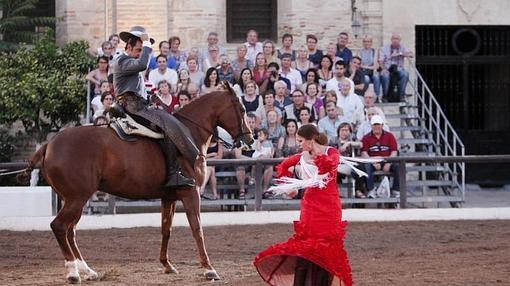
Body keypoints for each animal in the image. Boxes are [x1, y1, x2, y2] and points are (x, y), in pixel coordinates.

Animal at [17, 89, 253, 284]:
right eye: (241, 109)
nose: (250, 139)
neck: (190, 133)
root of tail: (49, 144)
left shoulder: (169, 197)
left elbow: (166, 230)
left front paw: (167, 265)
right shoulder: (190, 193)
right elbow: (197, 229)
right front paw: (209, 269)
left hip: (73, 199)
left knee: (70, 231)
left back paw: (88, 271)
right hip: (77, 198)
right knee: (59, 227)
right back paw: (73, 273)